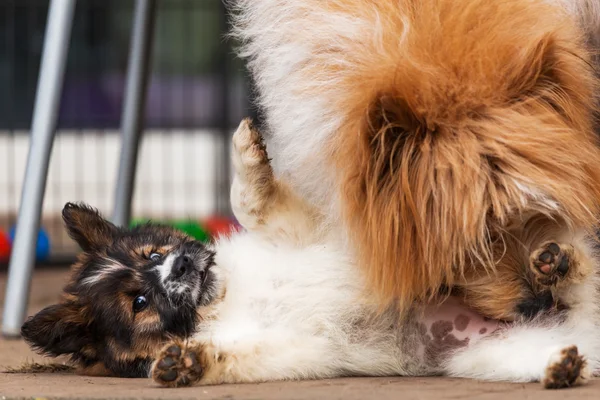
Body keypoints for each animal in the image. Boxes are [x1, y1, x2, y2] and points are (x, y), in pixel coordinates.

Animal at [19, 119, 600, 388]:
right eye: (138, 302)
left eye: (156, 249)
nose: (182, 264)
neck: (224, 296)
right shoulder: (294, 345)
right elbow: (240, 355)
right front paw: (187, 363)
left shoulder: (301, 234)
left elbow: (251, 202)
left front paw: (248, 153)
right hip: (488, 355)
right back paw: (560, 366)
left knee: (582, 273)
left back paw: (555, 264)